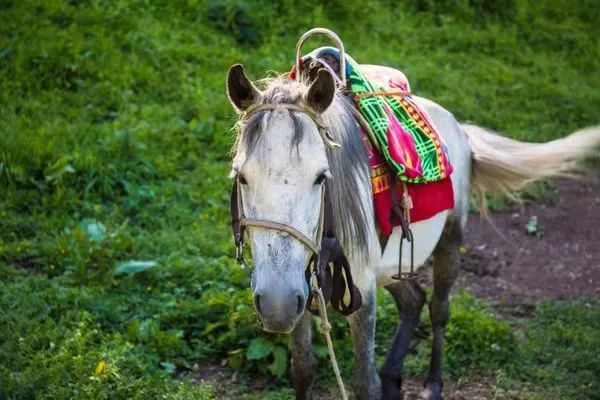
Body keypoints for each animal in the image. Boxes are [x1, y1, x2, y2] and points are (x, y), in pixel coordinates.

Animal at [226, 60, 600, 400]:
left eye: (321, 177)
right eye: (241, 176)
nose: (276, 303)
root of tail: (460, 129)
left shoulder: (360, 294)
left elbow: (365, 384)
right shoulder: (302, 293)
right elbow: (303, 370)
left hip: (450, 242)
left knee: (438, 308)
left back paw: (432, 384)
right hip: (386, 269)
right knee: (413, 300)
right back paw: (395, 378)